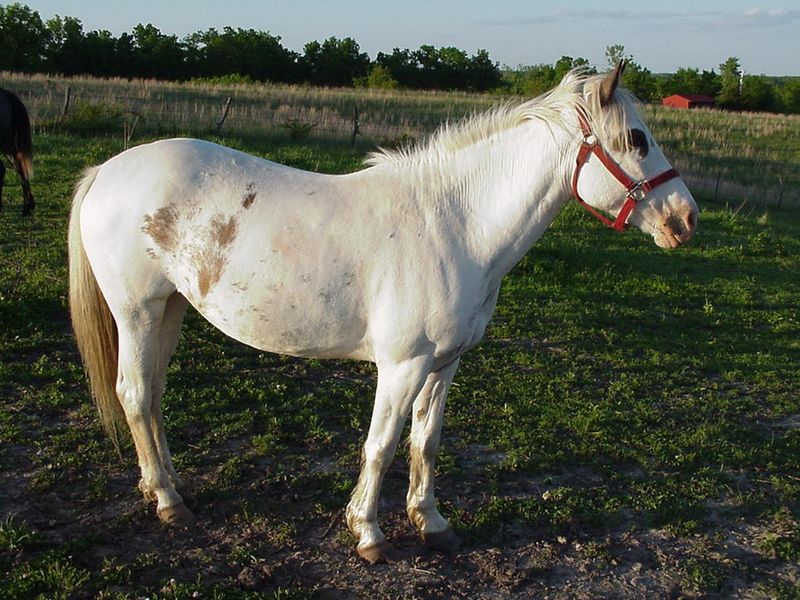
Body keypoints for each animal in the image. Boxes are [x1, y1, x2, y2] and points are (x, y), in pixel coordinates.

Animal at [67, 63, 692, 560]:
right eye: (636, 138)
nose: (686, 219)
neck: (455, 224)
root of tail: (107, 171)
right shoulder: (402, 366)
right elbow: (381, 445)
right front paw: (367, 533)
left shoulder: (445, 364)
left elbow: (426, 441)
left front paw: (431, 522)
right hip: (137, 312)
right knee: (135, 394)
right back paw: (168, 501)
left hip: (170, 310)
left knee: (152, 397)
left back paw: (166, 484)